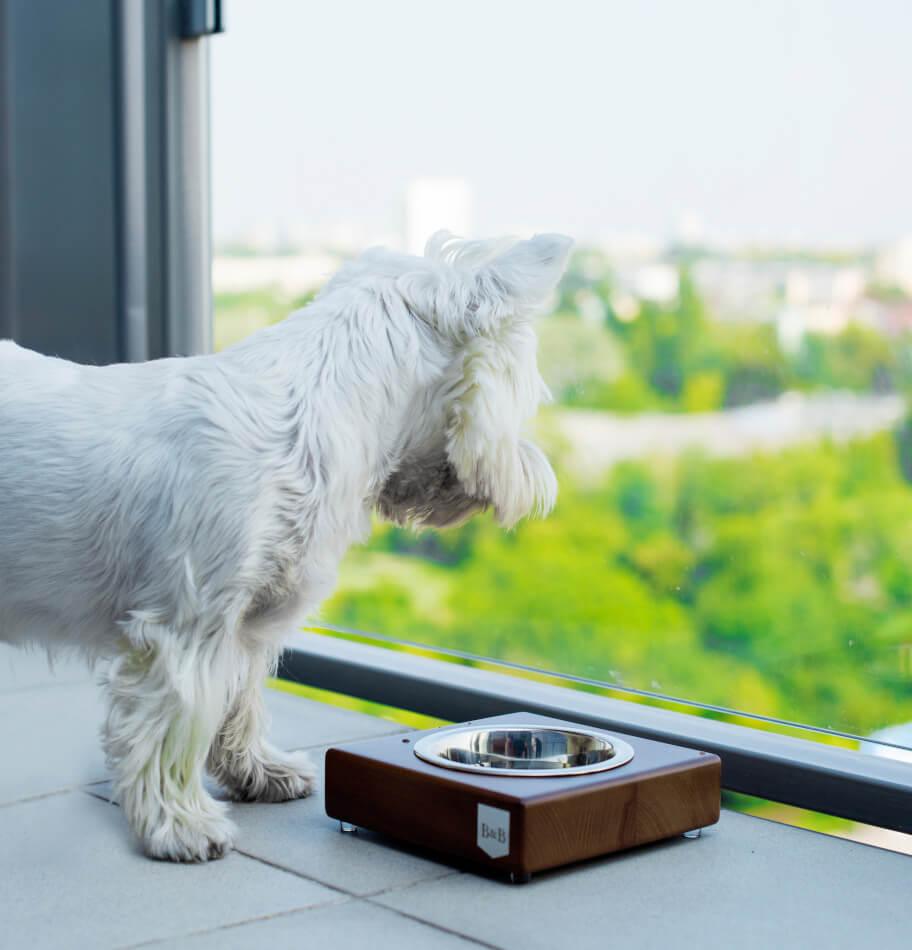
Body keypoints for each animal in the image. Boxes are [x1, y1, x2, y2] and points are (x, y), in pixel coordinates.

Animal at [0, 232, 568, 864]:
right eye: (530, 390)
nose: (541, 485)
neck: (318, 411)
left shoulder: (245, 627)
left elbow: (240, 706)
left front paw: (257, 773)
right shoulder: (184, 628)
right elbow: (171, 731)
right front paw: (181, 825)